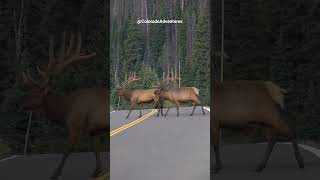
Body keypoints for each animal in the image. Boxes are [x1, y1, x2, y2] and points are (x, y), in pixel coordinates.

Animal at [21, 31, 109, 179]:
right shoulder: (93, 130)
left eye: (36, 95)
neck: (66, 108)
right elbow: (96, 150)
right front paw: (97, 172)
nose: (22, 104)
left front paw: (54, 174)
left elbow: (67, 150)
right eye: (29, 91)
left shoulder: (75, 124)